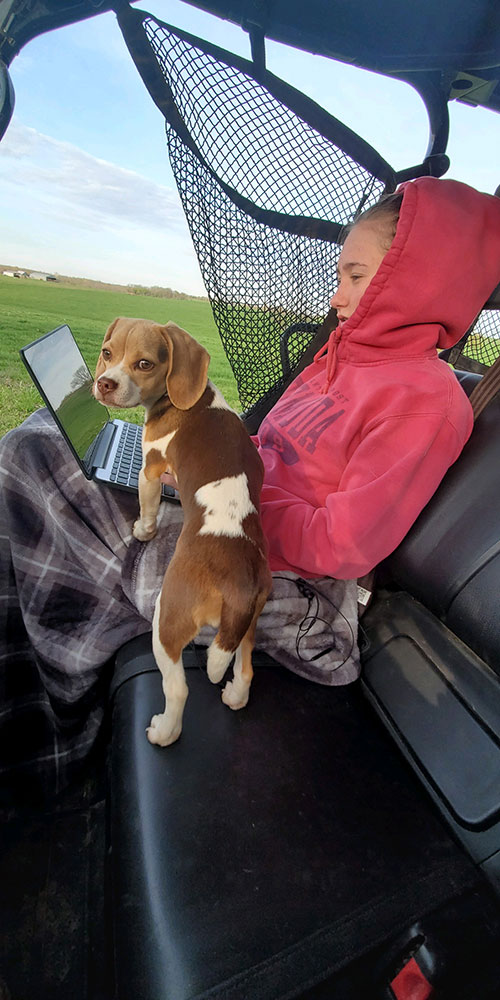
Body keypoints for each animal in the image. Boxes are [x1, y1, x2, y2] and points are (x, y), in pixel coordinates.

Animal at [94, 316, 274, 748]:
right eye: (108, 353)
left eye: (144, 363)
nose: (104, 383)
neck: (190, 398)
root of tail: (241, 585)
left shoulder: (149, 471)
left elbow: (147, 509)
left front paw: (142, 531)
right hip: (249, 624)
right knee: (245, 668)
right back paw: (234, 695)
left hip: (166, 619)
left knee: (178, 688)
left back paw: (164, 732)